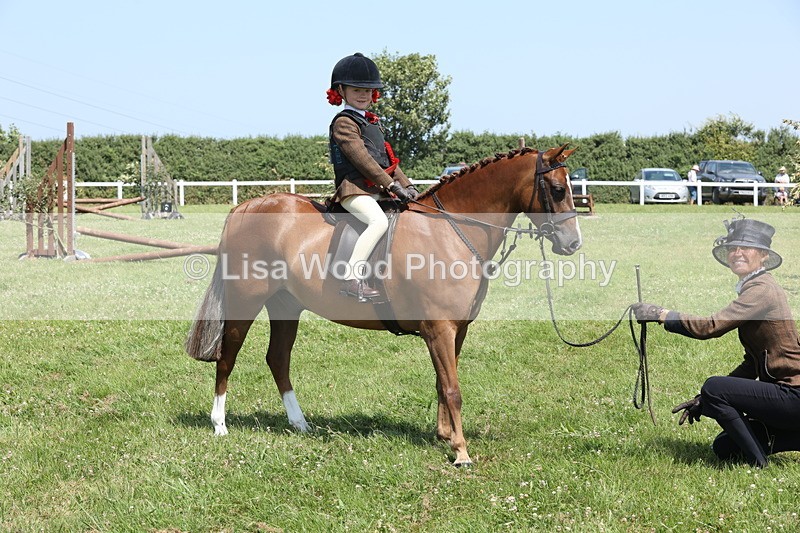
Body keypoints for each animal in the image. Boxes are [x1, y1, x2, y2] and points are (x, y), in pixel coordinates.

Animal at [185, 144, 582, 466]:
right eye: (558, 190)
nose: (573, 244)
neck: (448, 229)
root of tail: (246, 206)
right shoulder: (439, 328)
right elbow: (453, 389)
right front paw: (461, 452)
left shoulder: (456, 330)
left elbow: (442, 382)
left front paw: (445, 437)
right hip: (247, 300)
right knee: (227, 356)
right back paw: (220, 424)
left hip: (286, 306)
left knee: (278, 359)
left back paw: (300, 424)